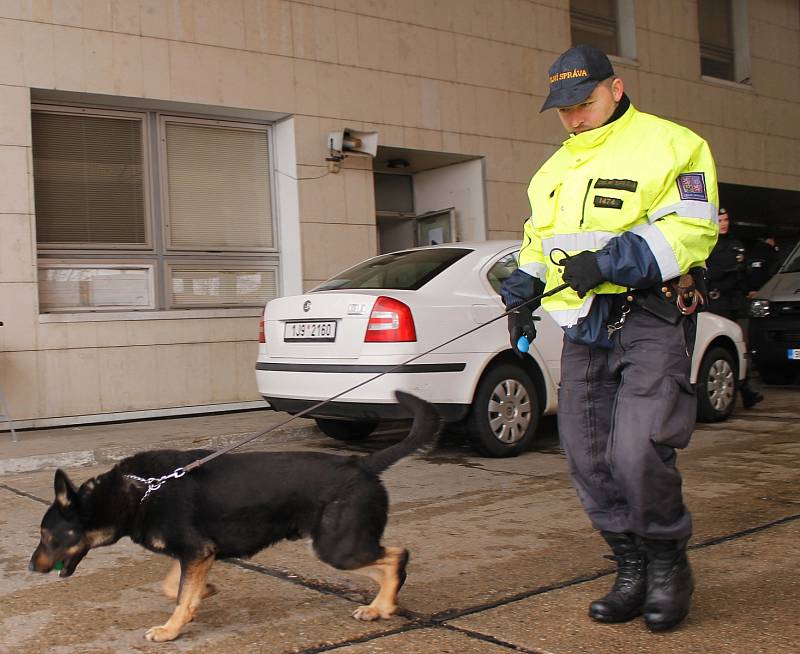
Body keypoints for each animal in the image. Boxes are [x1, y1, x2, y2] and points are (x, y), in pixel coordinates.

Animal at [29, 392, 438, 644]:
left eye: (48, 535)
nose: (31, 567)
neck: (138, 491)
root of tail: (362, 464)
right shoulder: (197, 554)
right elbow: (174, 587)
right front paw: (201, 596)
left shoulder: (196, 551)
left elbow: (179, 595)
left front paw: (170, 630)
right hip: (340, 547)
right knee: (386, 565)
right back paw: (380, 607)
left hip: (337, 547)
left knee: (398, 556)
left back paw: (384, 603)